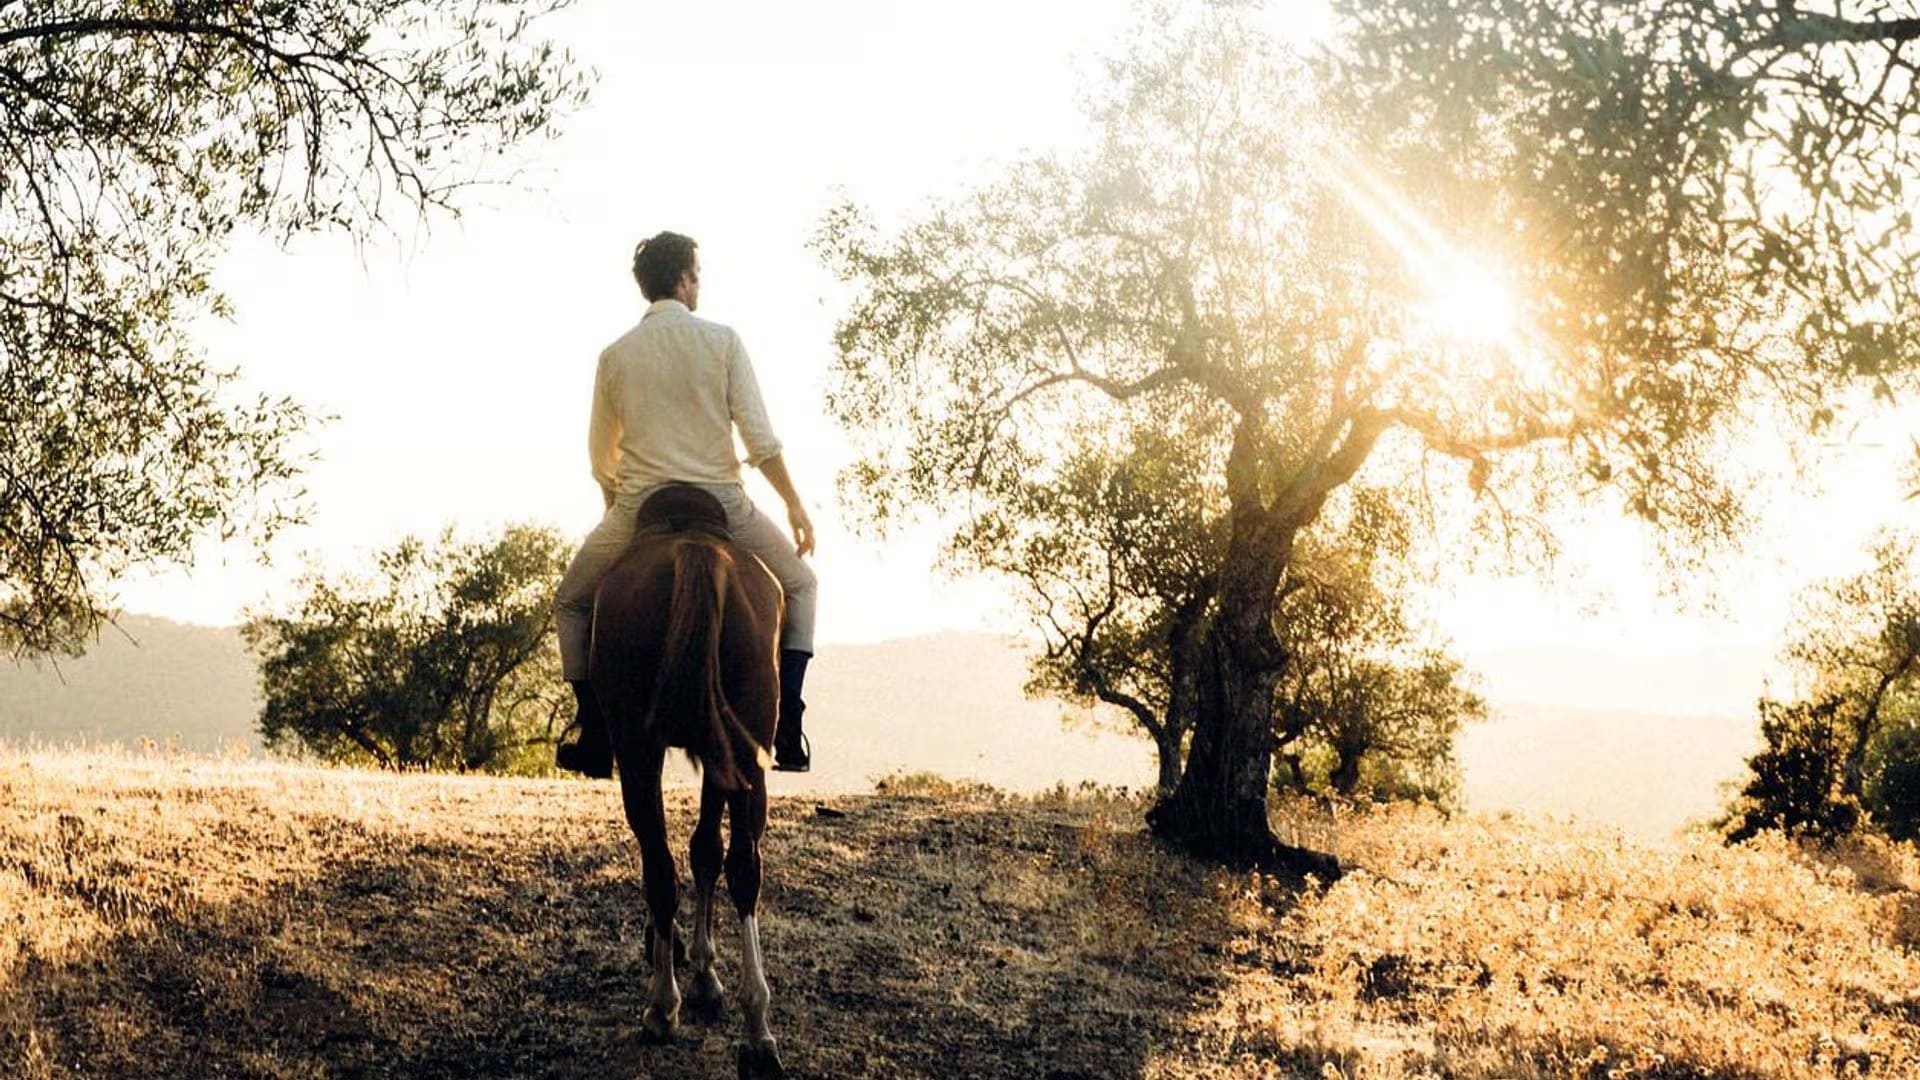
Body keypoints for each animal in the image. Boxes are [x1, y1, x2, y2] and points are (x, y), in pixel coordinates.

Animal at [587, 484, 787, 1078]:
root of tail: (696, 551)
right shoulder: (721, 749)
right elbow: (708, 852)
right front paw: (704, 973)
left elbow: (693, 855)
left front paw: (688, 964)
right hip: (742, 743)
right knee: (744, 866)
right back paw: (756, 1032)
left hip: (638, 748)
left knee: (661, 866)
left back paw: (663, 1004)